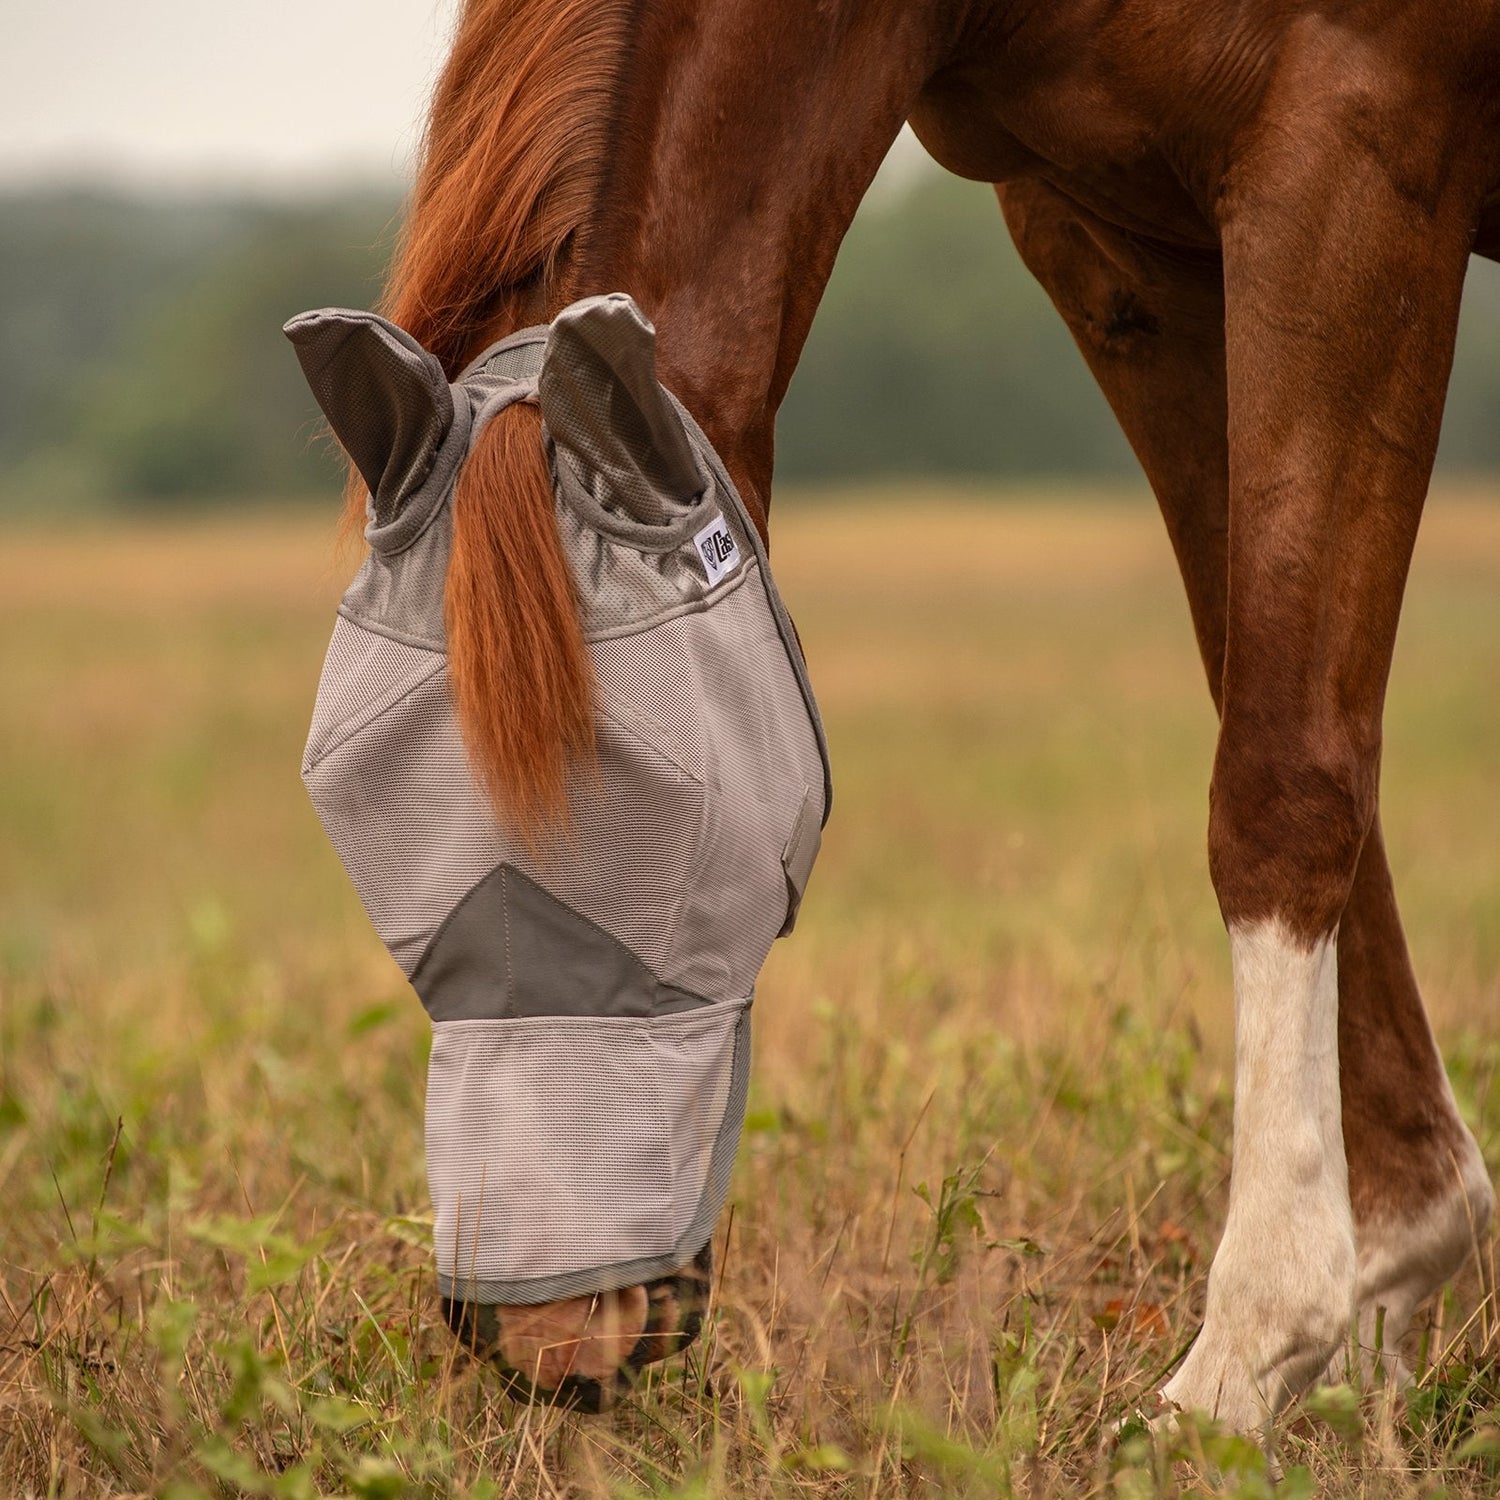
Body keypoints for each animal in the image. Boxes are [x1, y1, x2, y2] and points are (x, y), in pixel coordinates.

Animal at [354, 0, 1499, 1430]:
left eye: (653, 828)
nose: (541, 1340)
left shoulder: (1354, 150)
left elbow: (1286, 776)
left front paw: (1244, 1355)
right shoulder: (1130, 253)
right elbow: (1280, 699)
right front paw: (1392, 1261)